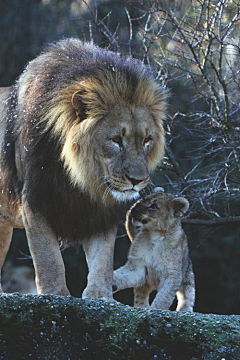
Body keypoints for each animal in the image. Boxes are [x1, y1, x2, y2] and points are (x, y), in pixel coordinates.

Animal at [0, 38, 167, 300]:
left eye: (147, 140)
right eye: (116, 140)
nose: (137, 180)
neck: (81, 177)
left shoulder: (101, 209)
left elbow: (102, 258)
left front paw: (101, 296)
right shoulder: (36, 199)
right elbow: (48, 258)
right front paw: (56, 294)